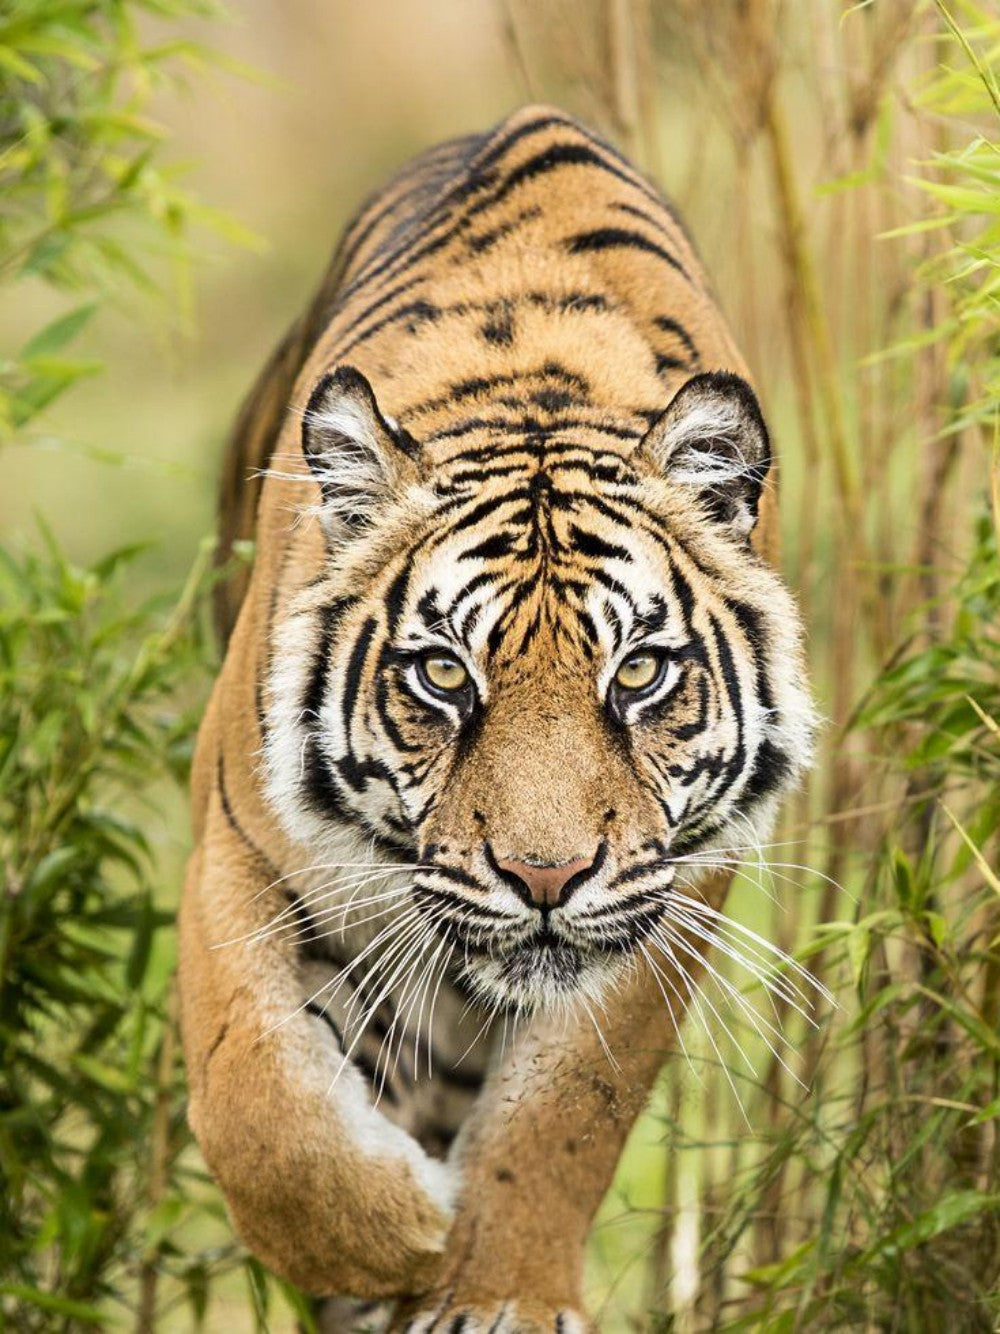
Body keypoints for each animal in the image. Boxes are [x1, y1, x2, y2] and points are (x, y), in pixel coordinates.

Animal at [179, 104, 816, 1333]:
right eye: (442, 675)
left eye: (638, 672)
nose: (544, 876)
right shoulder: (236, 843)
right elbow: (257, 1094)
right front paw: (387, 1238)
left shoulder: (673, 889)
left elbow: (568, 1103)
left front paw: (497, 1289)